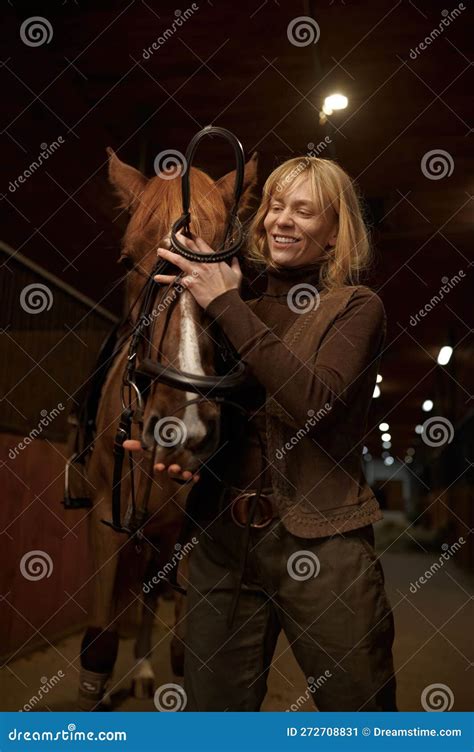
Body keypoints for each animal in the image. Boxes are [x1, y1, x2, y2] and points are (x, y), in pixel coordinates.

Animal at [78, 142, 258, 712]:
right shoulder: (104, 520)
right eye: (126, 262)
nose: (183, 424)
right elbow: (97, 644)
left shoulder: (191, 532)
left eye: (231, 271)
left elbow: (186, 648)